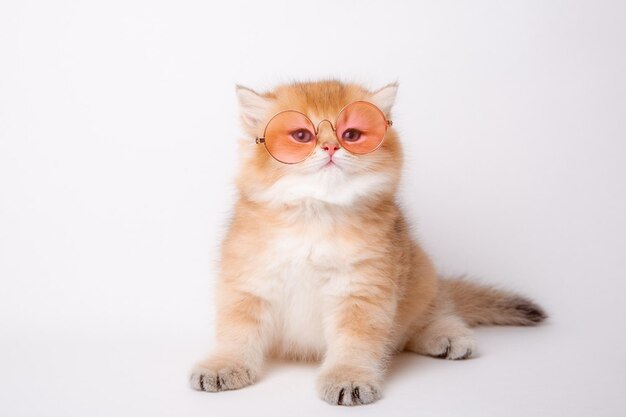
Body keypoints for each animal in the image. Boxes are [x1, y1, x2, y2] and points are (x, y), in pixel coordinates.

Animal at [188, 79, 544, 404]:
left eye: (352, 135)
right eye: (301, 135)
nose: (331, 147)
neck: (316, 215)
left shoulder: (363, 290)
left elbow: (355, 343)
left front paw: (348, 377)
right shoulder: (247, 282)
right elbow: (237, 332)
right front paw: (224, 365)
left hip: (421, 273)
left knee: (433, 312)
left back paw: (447, 336)